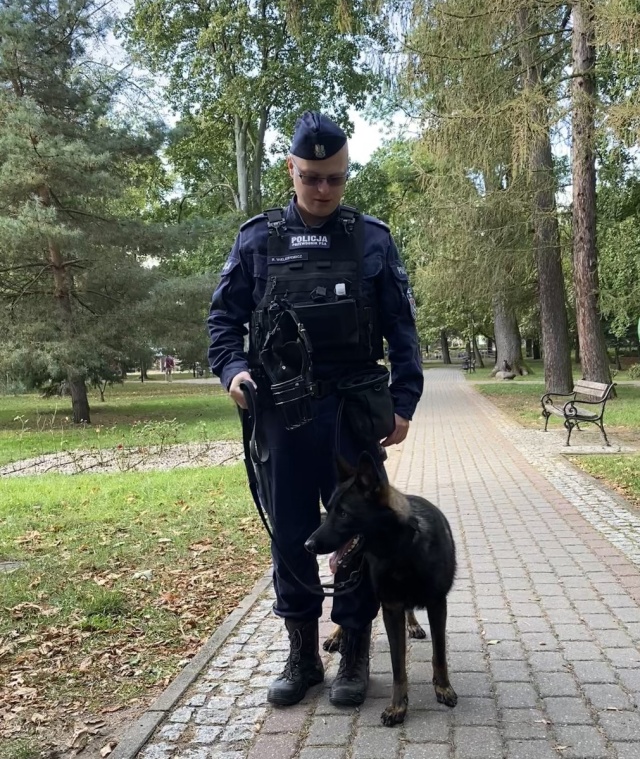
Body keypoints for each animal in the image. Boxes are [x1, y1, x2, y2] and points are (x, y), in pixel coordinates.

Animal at [304, 454, 456, 728]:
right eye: (329, 511)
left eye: (344, 513)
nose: (307, 545)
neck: (401, 551)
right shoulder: (391, 609)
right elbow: (398, 668)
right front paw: (398, 706)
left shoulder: (438, 604)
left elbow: (439, 654)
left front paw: (443, 688)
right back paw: (336, 635)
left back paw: (413, 624)